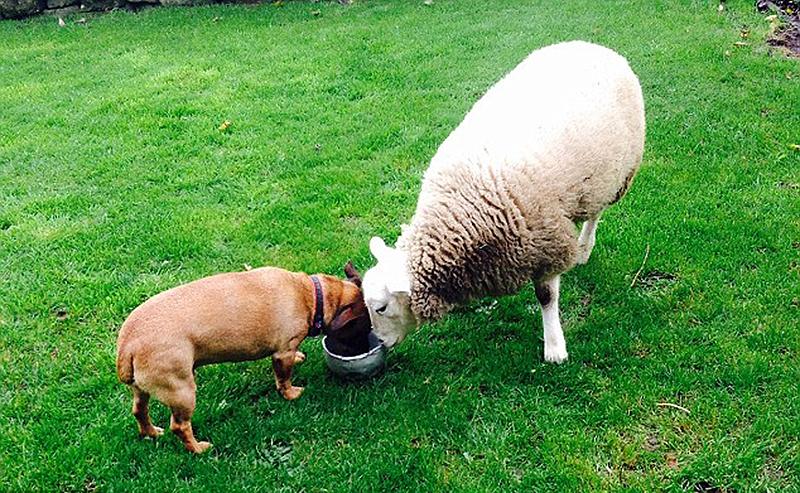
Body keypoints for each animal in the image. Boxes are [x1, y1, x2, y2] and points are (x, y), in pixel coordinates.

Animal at [115, 262, 368, 454]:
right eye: (361, 329)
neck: (310, 294)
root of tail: (129, 344)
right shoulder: (282, 354)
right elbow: (284, 380)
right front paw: (291, 394)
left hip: (142, 390)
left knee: (139, 411)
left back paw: (150, 433)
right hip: (182, 393)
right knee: (180, 427)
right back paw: (198, 449)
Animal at [360, 40, 644, 362]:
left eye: (381, 307)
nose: (379, 343)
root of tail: (594, 46)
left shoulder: (546, 244)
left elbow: (546, 297)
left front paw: (554, 347)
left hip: (615, 175)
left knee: (595, 213)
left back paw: (584, 248)